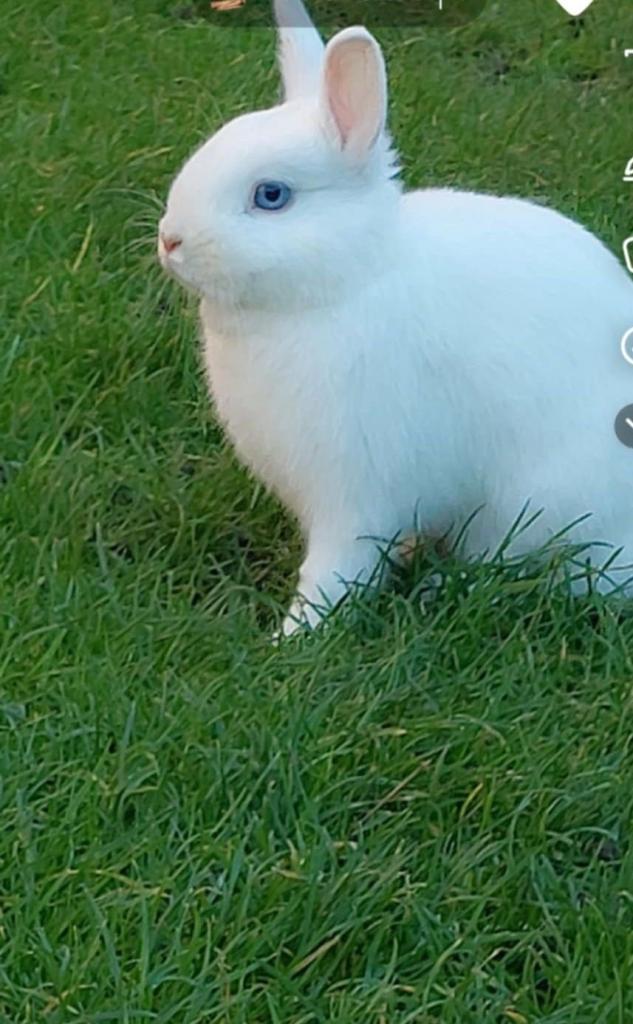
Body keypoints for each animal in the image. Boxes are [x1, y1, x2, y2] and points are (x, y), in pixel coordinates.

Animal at [158, 0, 633, 636]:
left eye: (272, 196)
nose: (170, 241)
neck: (346, 281)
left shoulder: (356, 491)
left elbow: (338, 569)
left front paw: (292, 638)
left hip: (546, 504)